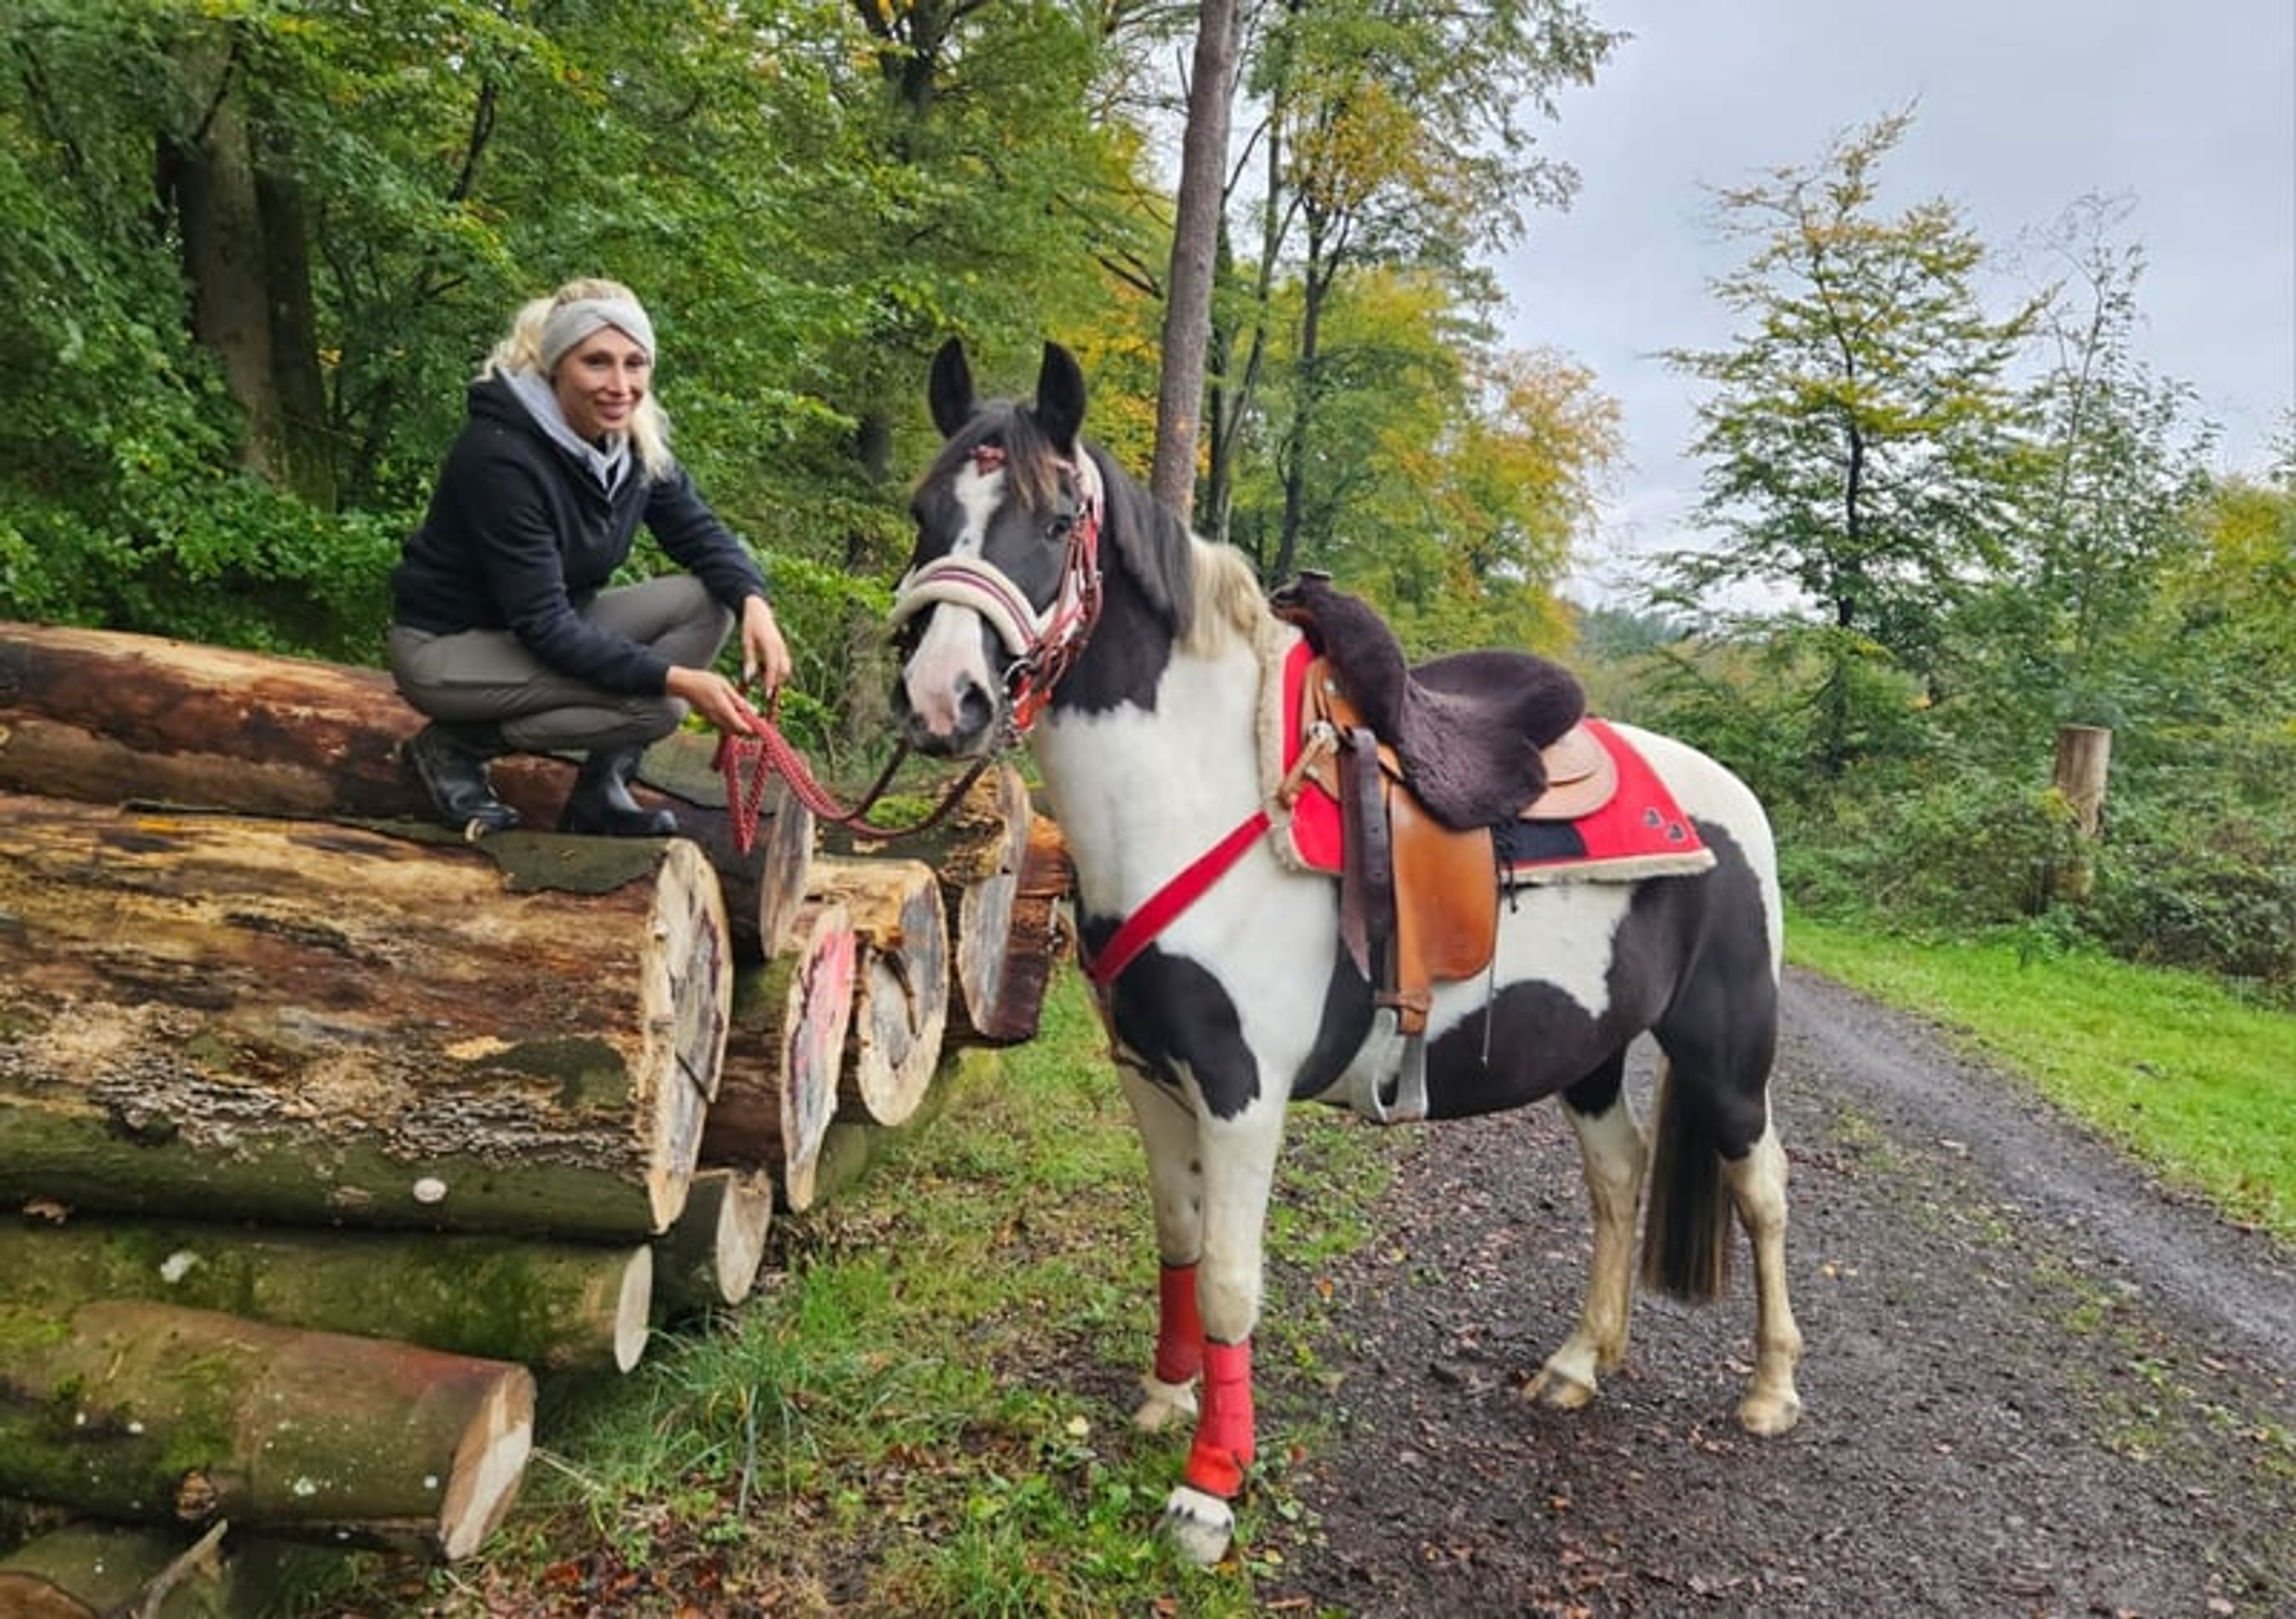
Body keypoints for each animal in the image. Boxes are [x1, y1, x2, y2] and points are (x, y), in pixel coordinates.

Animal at [888, 338, 1803, 1567]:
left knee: (1763, 1188)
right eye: (925, 509)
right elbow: (1179, 1240)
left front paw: (1209, 1489)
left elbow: (1232, 1280)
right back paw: (1576, 1364)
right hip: (1594, 1051)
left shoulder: (1241, 1091)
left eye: (1055, 516)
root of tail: (1724, 794)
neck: (1199, 792)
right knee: (1618, 1176)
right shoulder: (1151, 1076)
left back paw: (1770, 1389)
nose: (942, 698)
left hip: (1724, 1050)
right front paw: (1167, 1398)